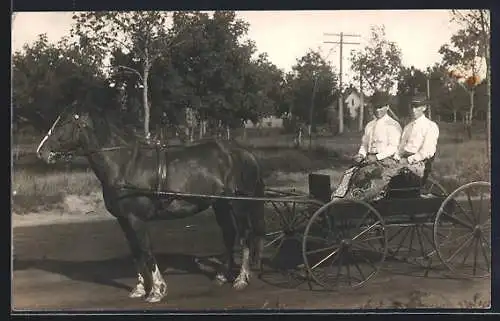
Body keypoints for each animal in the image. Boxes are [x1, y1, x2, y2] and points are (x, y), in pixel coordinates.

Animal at [35, 105, 268, 302]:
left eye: (64, 123)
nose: (41, 152)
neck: (125, 165)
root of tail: (244, 153)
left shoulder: (136, 219)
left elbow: (146, 250)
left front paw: (157, 290)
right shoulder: (124, 220)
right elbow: (136, 252)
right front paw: (139, 289)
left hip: (238, 205)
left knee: (245, 236)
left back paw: (241, 279)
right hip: (220, 205)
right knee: (229, 234)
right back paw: (221, 276)